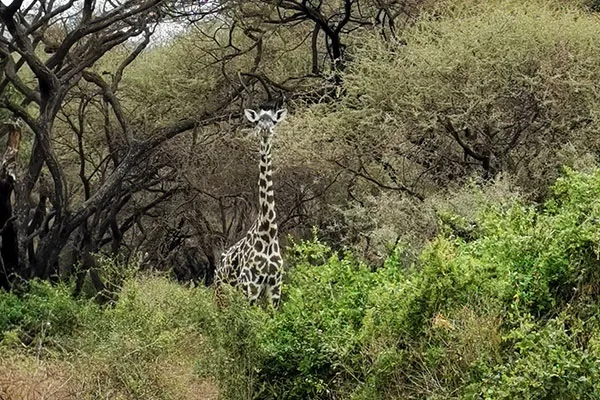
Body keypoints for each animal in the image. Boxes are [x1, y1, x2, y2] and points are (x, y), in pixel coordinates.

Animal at [215, 104, 287, 308]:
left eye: (273, 120)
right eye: (257, 121)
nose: (265, 129)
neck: (268, 233)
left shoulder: (275, 285)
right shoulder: (250, 286)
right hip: (220, 294)